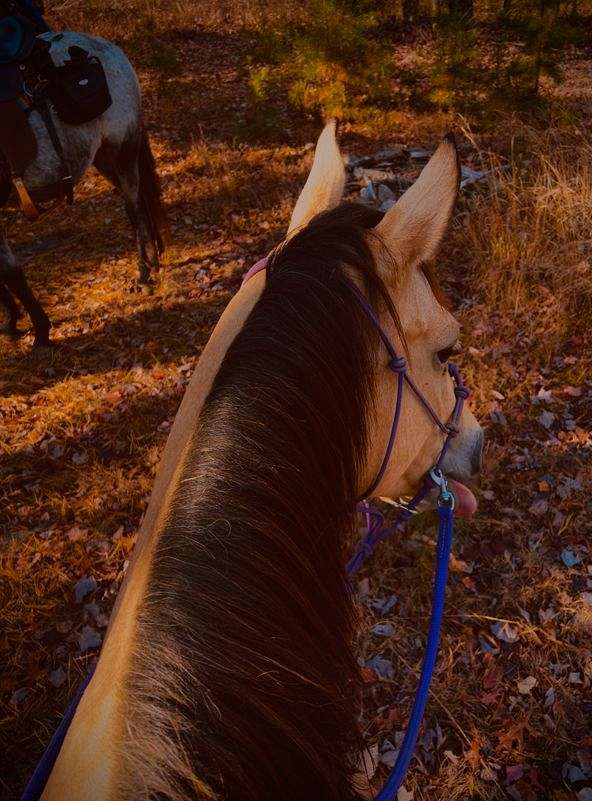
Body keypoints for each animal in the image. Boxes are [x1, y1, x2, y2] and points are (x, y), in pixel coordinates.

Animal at [0, 27, 166, 346]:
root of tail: (111, 48)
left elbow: (10, 270)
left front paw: (39, 329)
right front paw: (12, 321)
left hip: (123, 149)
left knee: (134, 208)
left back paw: (144, 274)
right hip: (102, 157)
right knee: (141, 202)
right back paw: (153, 262)